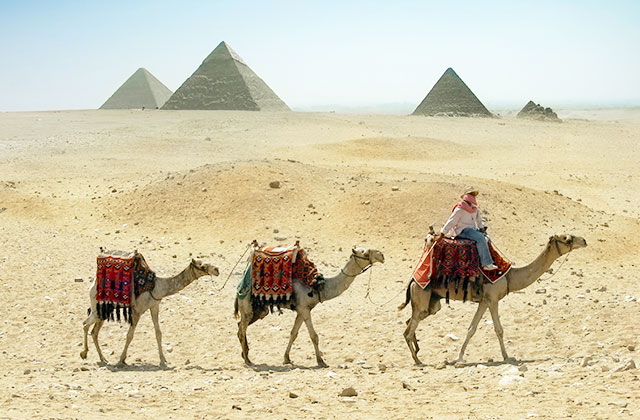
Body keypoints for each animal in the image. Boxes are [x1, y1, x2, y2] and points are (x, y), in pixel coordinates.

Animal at [80, 258, 219, 367]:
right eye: (202, 265)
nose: (216, 269)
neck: (158, 287)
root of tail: (93, 283)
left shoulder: (154, 306)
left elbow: (158, 333)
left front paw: (163, 360)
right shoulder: (137, 311)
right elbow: (130, 335)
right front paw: (121, 360)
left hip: (105, 310)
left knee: (94, 332)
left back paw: (103, 358)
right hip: (97, 308)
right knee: (85, 324)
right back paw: (84, 353)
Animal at [234, 247, 385, 367]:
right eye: (365, 253)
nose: (381, 255)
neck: (317, 286)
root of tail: (240, 286)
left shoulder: (302, 310)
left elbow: (293, 334)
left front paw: (286, 359)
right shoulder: (304, 309)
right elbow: (314, 336)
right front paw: (321, 361)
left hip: (260, 310)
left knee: (240, 325)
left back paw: (245, 355)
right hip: (247, 305)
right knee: (242, 329)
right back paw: (247, 360)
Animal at [398, 233, 587, 365]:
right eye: (566, 238)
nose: (584, 240)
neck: (509, 276)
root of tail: (412, 281)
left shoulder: (484, 301)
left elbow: (471, 329)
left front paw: (459, 357)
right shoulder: (493, 298)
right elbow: (499, 329)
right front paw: (507, 356)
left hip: (432, 303)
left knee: (410, 321)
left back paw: (418, 352)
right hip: (422, 296)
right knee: (407, 330)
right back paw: (418, 360)